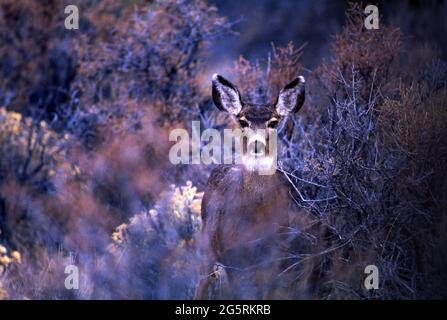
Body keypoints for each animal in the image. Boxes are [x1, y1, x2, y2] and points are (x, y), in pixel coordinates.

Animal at [195, 74, 304, 298]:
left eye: (273, 122)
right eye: (243, 121)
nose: (257, 144)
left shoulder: (277, 250)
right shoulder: (234, 252)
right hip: (207, 244)